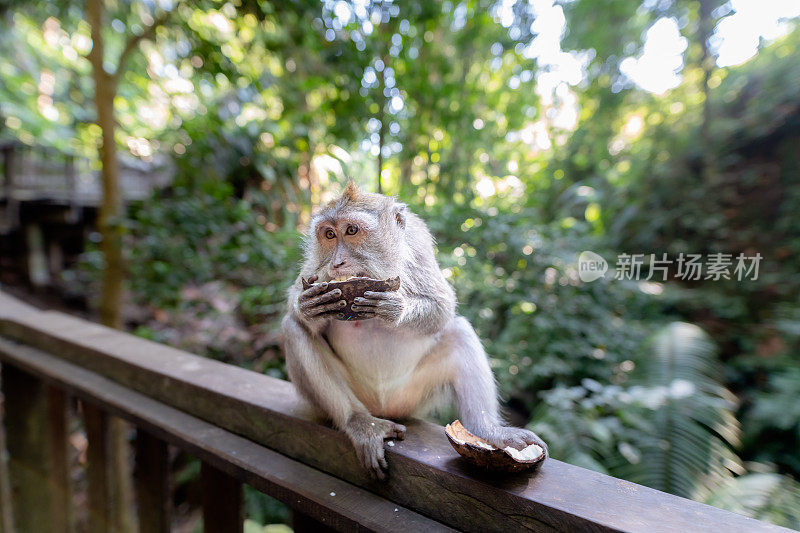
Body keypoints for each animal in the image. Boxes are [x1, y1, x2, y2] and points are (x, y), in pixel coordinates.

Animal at [278, 182, 548, 478]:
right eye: (328, 234)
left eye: (351, 231)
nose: (337, 263)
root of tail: (382, 407)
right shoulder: (316, 267)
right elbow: (297, 306)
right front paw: (309, 305)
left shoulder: (418, 245)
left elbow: (442, 306)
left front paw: (395, 309)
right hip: (360, 395)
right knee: (294, 329)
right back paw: (360, 423)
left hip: (412, 396)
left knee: (459, 332)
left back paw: (489, 431)